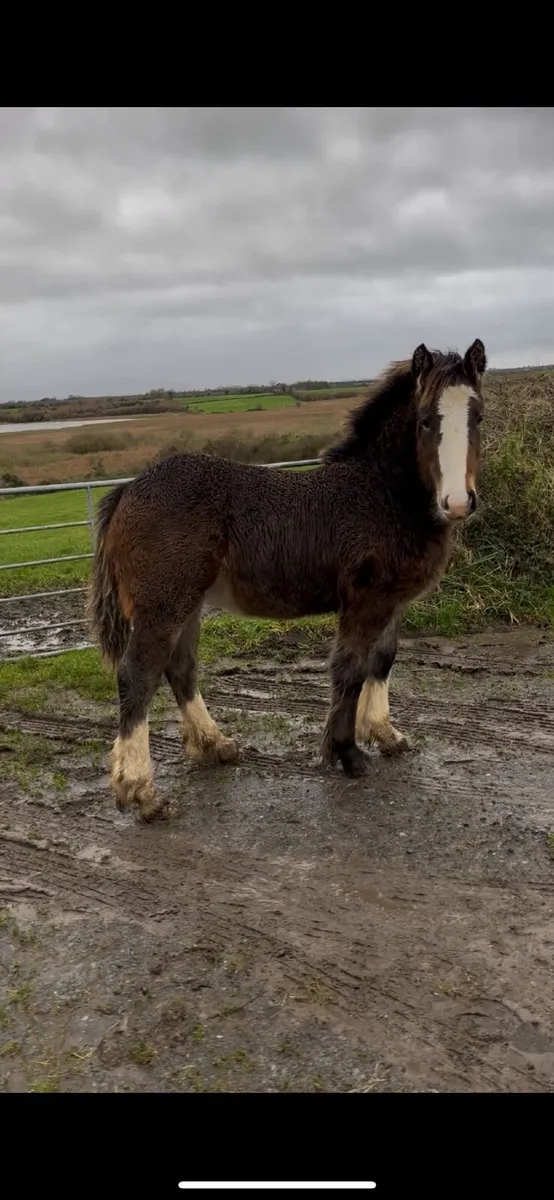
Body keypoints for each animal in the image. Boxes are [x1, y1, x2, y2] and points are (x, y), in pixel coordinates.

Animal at [88, 338, 487, 821]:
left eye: (478, 416)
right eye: (426, 420)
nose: (457, 503)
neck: (381, 494)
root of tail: (128, 489)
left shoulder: (393, 600)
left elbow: (382, 661)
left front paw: (384, 734)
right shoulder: (365, 600)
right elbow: (350, 668)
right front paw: (347, 753)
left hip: (188, 603)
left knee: (179, 667)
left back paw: (214, 745)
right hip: (162, 605)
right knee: (138, 676)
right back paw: (141, 792)